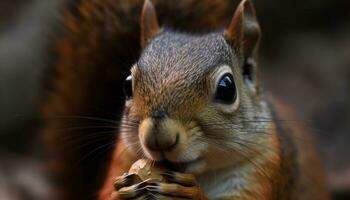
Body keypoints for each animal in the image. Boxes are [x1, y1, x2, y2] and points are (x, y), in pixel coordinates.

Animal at [41, 0, 330, 198]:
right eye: (127, 85)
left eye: (227, 88)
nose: (159, 137)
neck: (201, 173)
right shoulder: (122, 158)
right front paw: (120, 192)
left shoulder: (264, 170)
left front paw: (191, 194)